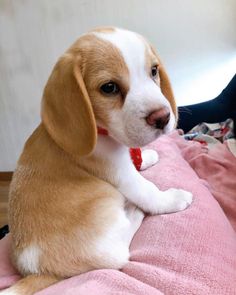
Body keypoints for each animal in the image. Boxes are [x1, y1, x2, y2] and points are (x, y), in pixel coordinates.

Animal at [2, 27, 192, 295]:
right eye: (109, 87)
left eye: (154, 71)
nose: (163, 117)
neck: (103, 132)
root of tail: (38, 270)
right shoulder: (123, 175)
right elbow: (149, 191)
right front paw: (172, 199)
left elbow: (137, 158)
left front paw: (148, 157)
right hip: (107, 217)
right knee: (119, 253)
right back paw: (134, 213)